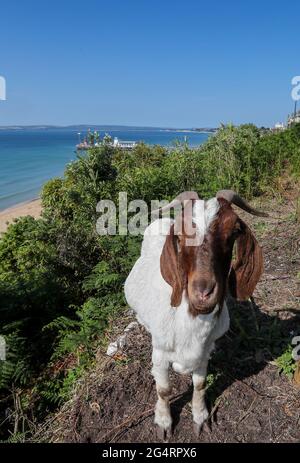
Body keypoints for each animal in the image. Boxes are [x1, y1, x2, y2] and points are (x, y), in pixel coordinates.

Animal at [124, 190, 268, 440]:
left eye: (234, 231)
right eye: (181, 235)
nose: (203, 292)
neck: (188, 323)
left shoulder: (206, 350)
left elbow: (200, 384)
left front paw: (200, 417)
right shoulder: (159, 353)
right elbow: (164, 389)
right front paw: (163, 422)